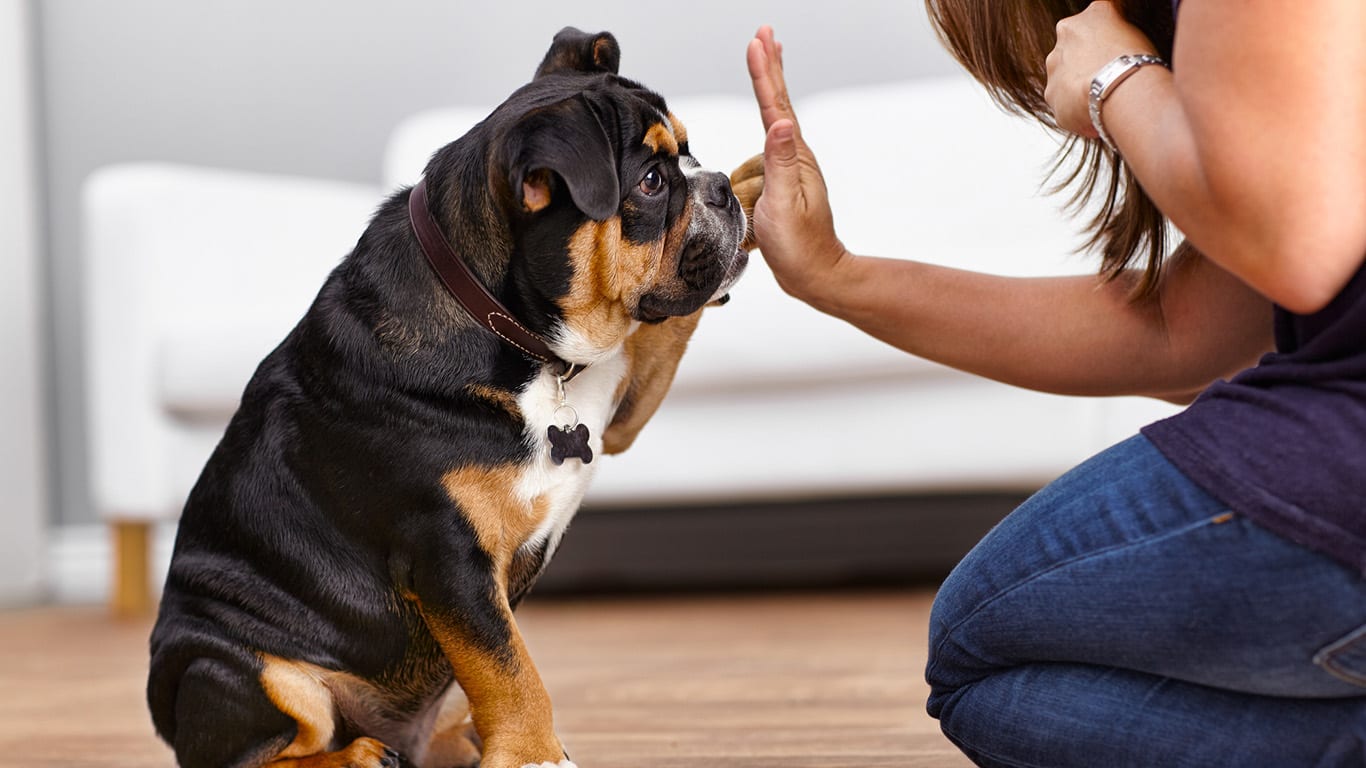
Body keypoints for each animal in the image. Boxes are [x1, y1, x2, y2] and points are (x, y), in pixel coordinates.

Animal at [149, 26, 764, 765]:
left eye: (691, 155)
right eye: (649, 182)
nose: (720, 187)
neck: (516, 331)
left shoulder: (620, 399)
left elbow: (663, 335)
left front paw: (763, 177)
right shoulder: (448, 558)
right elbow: (510, 669)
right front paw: (535, 754)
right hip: (241, 668)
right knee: (265, 751)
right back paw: (360, 754)